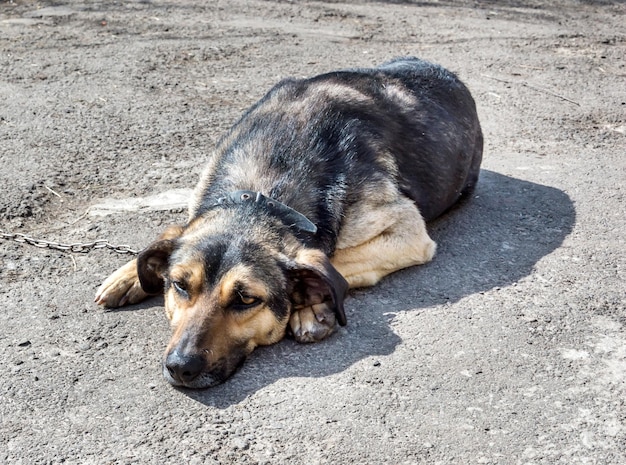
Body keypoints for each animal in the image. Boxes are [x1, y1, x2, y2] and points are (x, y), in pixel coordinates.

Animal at [94, 56, 482, 386]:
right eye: (179, 285)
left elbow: (332, 260)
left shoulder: (408, 230)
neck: (263, 194)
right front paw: (129, 275)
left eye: (246, 300)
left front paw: (309, 304)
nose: (180, 367)